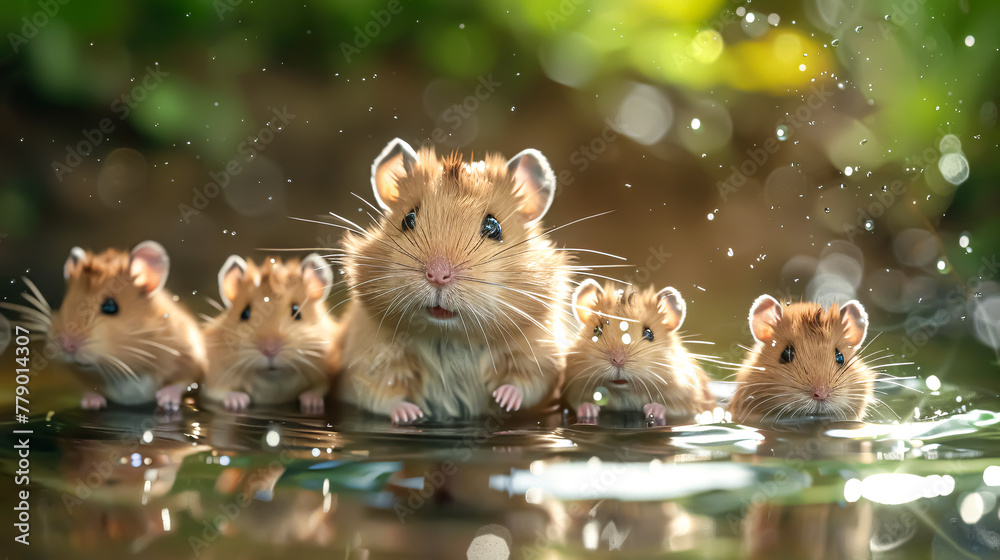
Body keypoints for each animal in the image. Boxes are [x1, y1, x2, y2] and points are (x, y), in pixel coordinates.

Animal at [0, 242, 207, 412]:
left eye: (110, 306)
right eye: (65, 303)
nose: (66, 345)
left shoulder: (189, 354)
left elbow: (184, 380)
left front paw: (166, 401)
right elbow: (84, 388)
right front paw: (92, 403)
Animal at [200, 254, 340, 412]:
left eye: (297, 311)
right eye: (244, 313)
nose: (270, 350)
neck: (272, 378)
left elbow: (318, 389)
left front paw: (312, 404)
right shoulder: (213, 380)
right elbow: (222, 392)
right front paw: (238, 402)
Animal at [338, 138, 568, 422]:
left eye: (493, 227)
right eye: (408, 219)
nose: (438, 274)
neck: (452, 338)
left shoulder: (541, 354)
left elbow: (526, 384)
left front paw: (502, 399)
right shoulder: (367, 359)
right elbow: (381, 394)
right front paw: (411, 415)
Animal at [564, 280, 720, 420]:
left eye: (649, 334)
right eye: (596, 330)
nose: (617, 360)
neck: (625, 392)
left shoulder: (689, 398)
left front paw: (652, 409)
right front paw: (588, 409)